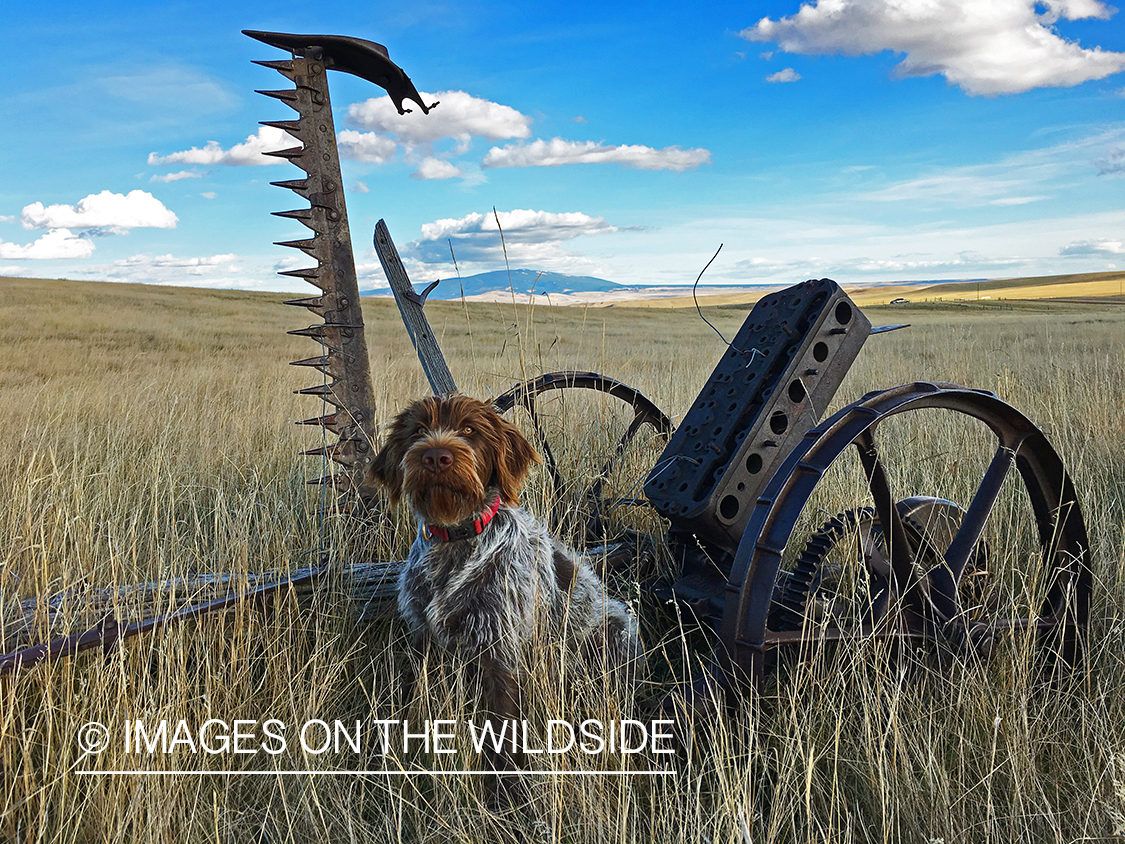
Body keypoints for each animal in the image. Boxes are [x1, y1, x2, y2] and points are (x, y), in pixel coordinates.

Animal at [366, 396, 639, 778]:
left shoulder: (500, 651)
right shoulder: (423, 640)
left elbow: (503, 734)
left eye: (469, 430)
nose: (435, 457)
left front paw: (506, 788)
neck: (456, 540)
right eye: (418, 430)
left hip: (613, 631)